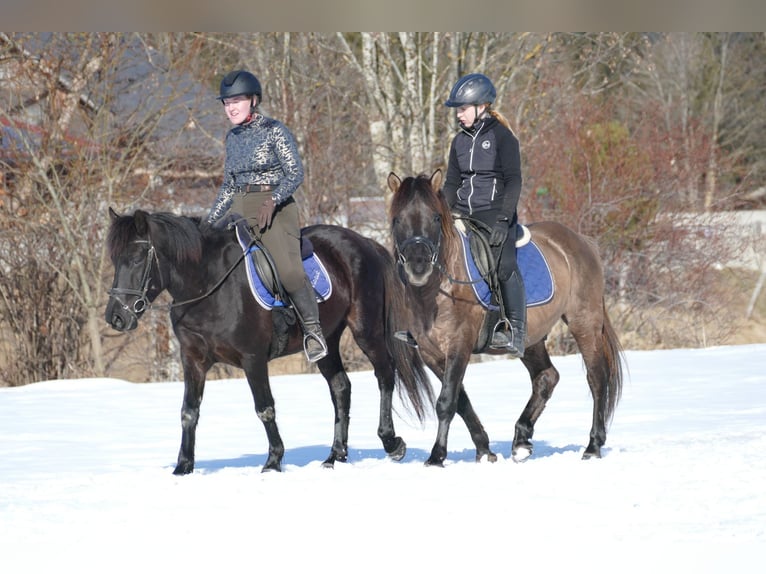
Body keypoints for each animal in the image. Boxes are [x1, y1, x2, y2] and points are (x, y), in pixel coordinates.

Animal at [105, 209, 436, 474]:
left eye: (136, 258)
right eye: (114, 260)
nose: (115, 317)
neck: (208, 285)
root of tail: (364, 242)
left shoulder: (252, 358)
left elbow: (264, 408)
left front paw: (274, 461)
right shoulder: (193, 360)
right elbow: (189, 412)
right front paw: (183, 467)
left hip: (366, 330)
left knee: (385, 374)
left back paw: (391, 442)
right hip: (326, 340)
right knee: (341, 387)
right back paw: (334, 456)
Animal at [388, 171, 628, 468]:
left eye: (435, 217)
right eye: (397, 219)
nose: (418, 266)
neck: (435, 290)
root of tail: (582, 241)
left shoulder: (459, 345)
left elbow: (446, 402)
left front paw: (436, 456)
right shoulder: (430, 353)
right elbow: (461, 401)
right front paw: (484, 450)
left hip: (584, 323)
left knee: (596, 378)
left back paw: (593, 446)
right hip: (530, 337)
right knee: (546, 377)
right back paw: (522, 441)